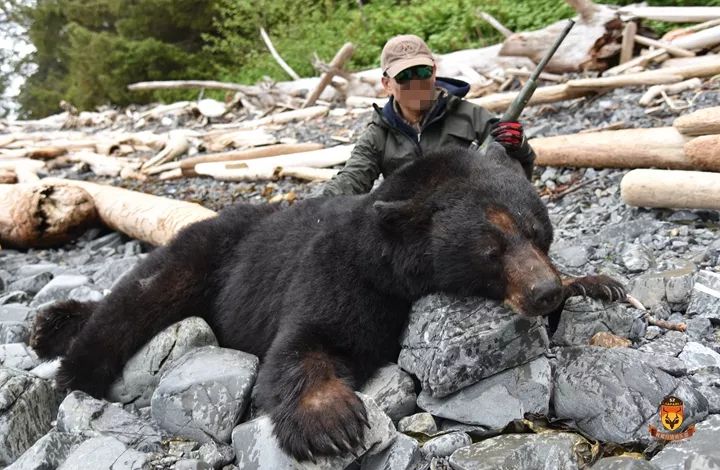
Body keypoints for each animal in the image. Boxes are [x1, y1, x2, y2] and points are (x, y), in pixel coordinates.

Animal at [31, 145, 620, 460]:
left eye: (538, 233)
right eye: (490, 249)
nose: (542, 291)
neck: (389, 262)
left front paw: (594, 284)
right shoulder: (338, 274)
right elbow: (304, 343)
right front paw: (331, 421)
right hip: (203, 259)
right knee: (137, 301)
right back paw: (68, 360)